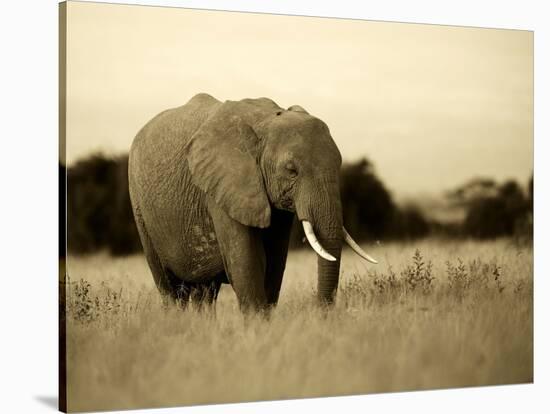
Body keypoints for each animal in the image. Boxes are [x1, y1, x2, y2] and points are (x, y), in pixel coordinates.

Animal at [129, 94, 378, 312]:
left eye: (339, 164)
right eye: (291, 171)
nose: (321, 314)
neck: (266, 121)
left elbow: (275, 261)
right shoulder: (223, 185)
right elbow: (246, 262)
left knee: (205, 291)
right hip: (140, 206)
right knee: (170, 288)